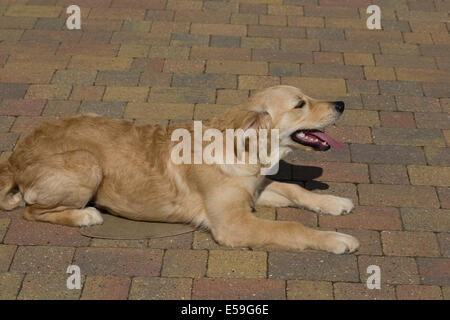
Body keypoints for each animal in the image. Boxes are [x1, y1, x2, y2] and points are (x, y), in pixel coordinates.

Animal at [0, 85, 358, 255]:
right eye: (300, 104)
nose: (342, 104)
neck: (245, 151)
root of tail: (14, 156)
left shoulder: (253, 188)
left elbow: (293, 189)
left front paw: (333, 202)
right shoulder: (233, 224)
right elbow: (291, 228)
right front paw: (336, 239)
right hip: (86, 162)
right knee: (31, 211)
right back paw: (84, 215)